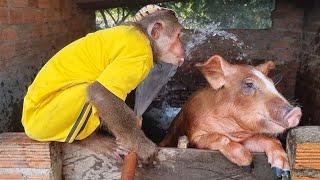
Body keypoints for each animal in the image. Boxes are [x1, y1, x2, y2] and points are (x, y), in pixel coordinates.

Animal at [160, 54, 302, 176]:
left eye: (272, 84)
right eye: (249, 84)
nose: (296, 112)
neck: (233, 130)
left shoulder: (245, 138)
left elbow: (269, 140)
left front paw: (283, 171)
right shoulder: (194, 135)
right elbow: (218, 138)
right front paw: (248, 163)